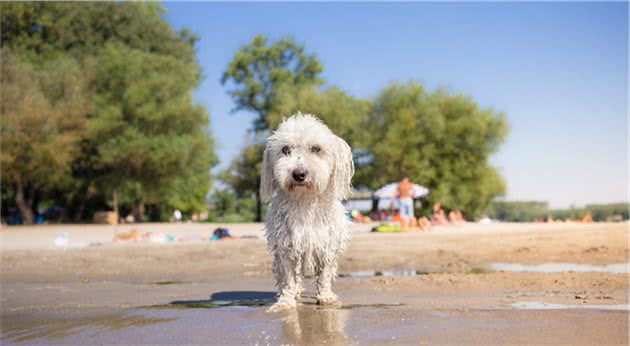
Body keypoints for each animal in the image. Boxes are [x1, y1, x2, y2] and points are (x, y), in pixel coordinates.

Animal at [262, 113, 356, 310]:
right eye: (285, 149)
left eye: (316, 148)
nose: (299, 174)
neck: (304, 200)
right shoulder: (285, 247)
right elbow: (288, 278)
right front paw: (286, 301)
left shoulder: (327, 245)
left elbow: (324, 275)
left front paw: (326, 297)